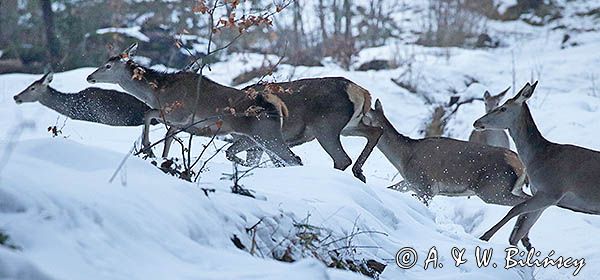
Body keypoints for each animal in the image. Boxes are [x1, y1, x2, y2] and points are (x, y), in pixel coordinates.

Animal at [86, 42, 382, 182]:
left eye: (108, 65)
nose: (90, 76)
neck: (159, 89)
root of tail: (362, 92)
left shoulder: (179, 115)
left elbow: (150, 117)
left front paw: (149, 149)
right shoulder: (182, 123)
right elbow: (166, 132)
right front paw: (159, 155)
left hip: (316, 129)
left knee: (320, 158)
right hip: (335, 127)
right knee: (373, 131)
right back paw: (360, 172)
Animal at [364, 99, 528, 206]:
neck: (403, 158)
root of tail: (520, 165)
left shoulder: (425, 186)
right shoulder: (410, 183)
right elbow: (392, 188)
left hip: (493, 188)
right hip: (512, 188)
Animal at [474, 82, 600, 250]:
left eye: (502, 108)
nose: (477, 122)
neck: (537, 158)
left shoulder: (552, 191)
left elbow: (515, 209)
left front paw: (484, 236)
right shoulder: (542, 194)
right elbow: (517, 233)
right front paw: (526, 244)